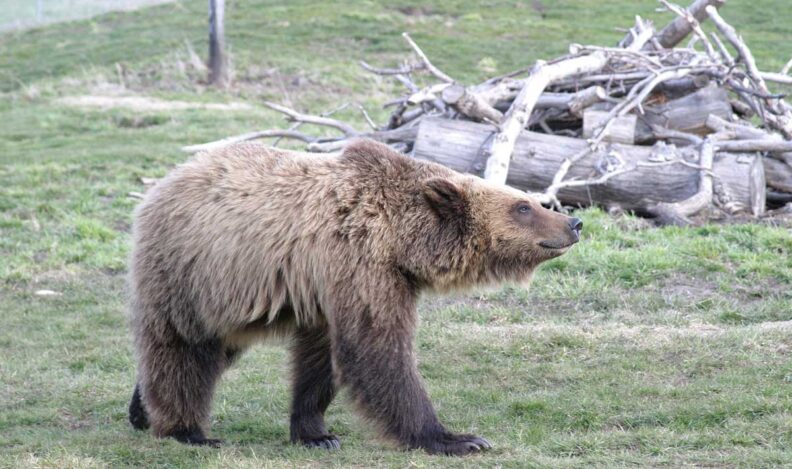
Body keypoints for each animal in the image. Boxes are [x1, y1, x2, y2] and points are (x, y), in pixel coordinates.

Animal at [127, 139, 582, 455]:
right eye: (523, 206)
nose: (573, 222)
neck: (400, 238)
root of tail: (162, 183)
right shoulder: (361, 263)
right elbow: (377, 349)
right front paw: (456, 438)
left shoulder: (328, 291)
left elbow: (321, 359)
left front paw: (316, 433)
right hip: (194, 273)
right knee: (183, 347)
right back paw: (187, 430)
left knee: (215, 350)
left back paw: (140, 409)